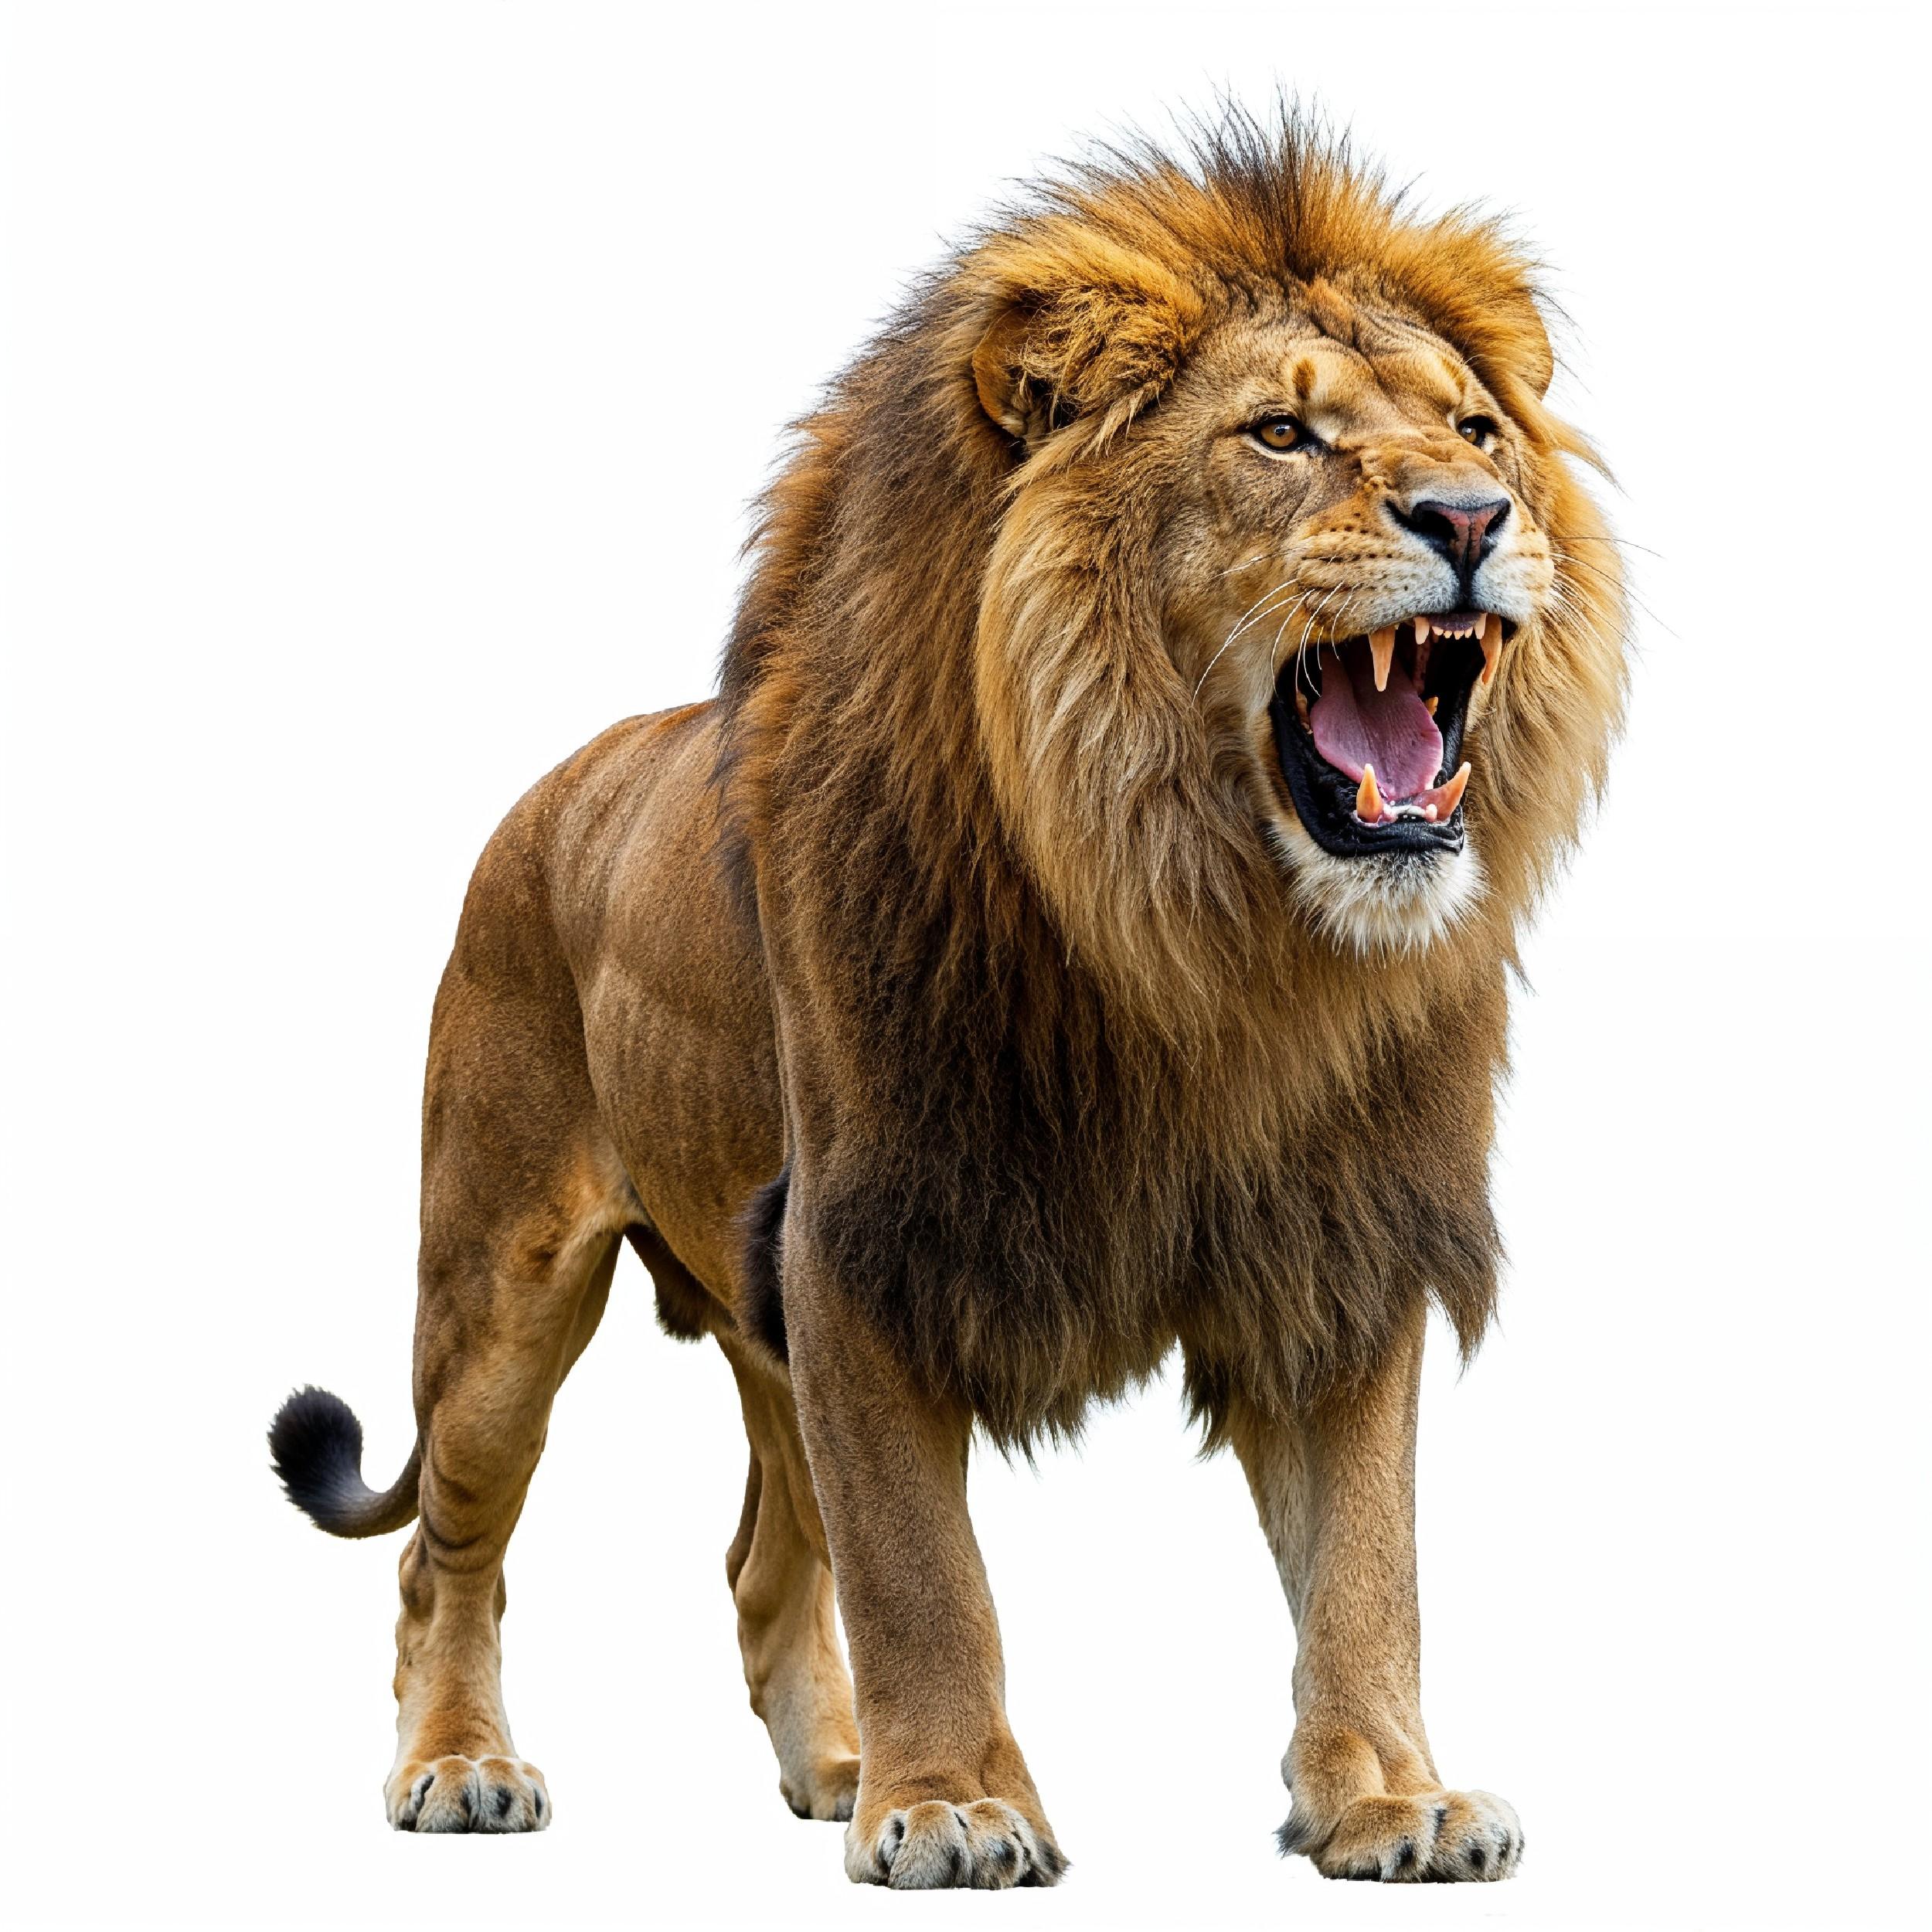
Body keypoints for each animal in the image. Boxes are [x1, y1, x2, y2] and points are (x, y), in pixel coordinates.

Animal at [268, 109, 1626, 1886]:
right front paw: (953, 1801)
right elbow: (922, 1568)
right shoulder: (866, 1237)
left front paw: (1389, 1794)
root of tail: (554, 785)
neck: (1202, 940)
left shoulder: (1333, 1237)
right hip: (499, 1286)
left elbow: (1363, 1562)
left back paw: (831, 1762)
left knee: (763, 1558)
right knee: (445, 1552)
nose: (1470, 515)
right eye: (1280, 434)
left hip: (749, 1319)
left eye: (1474, 427)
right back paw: (462, 1764)